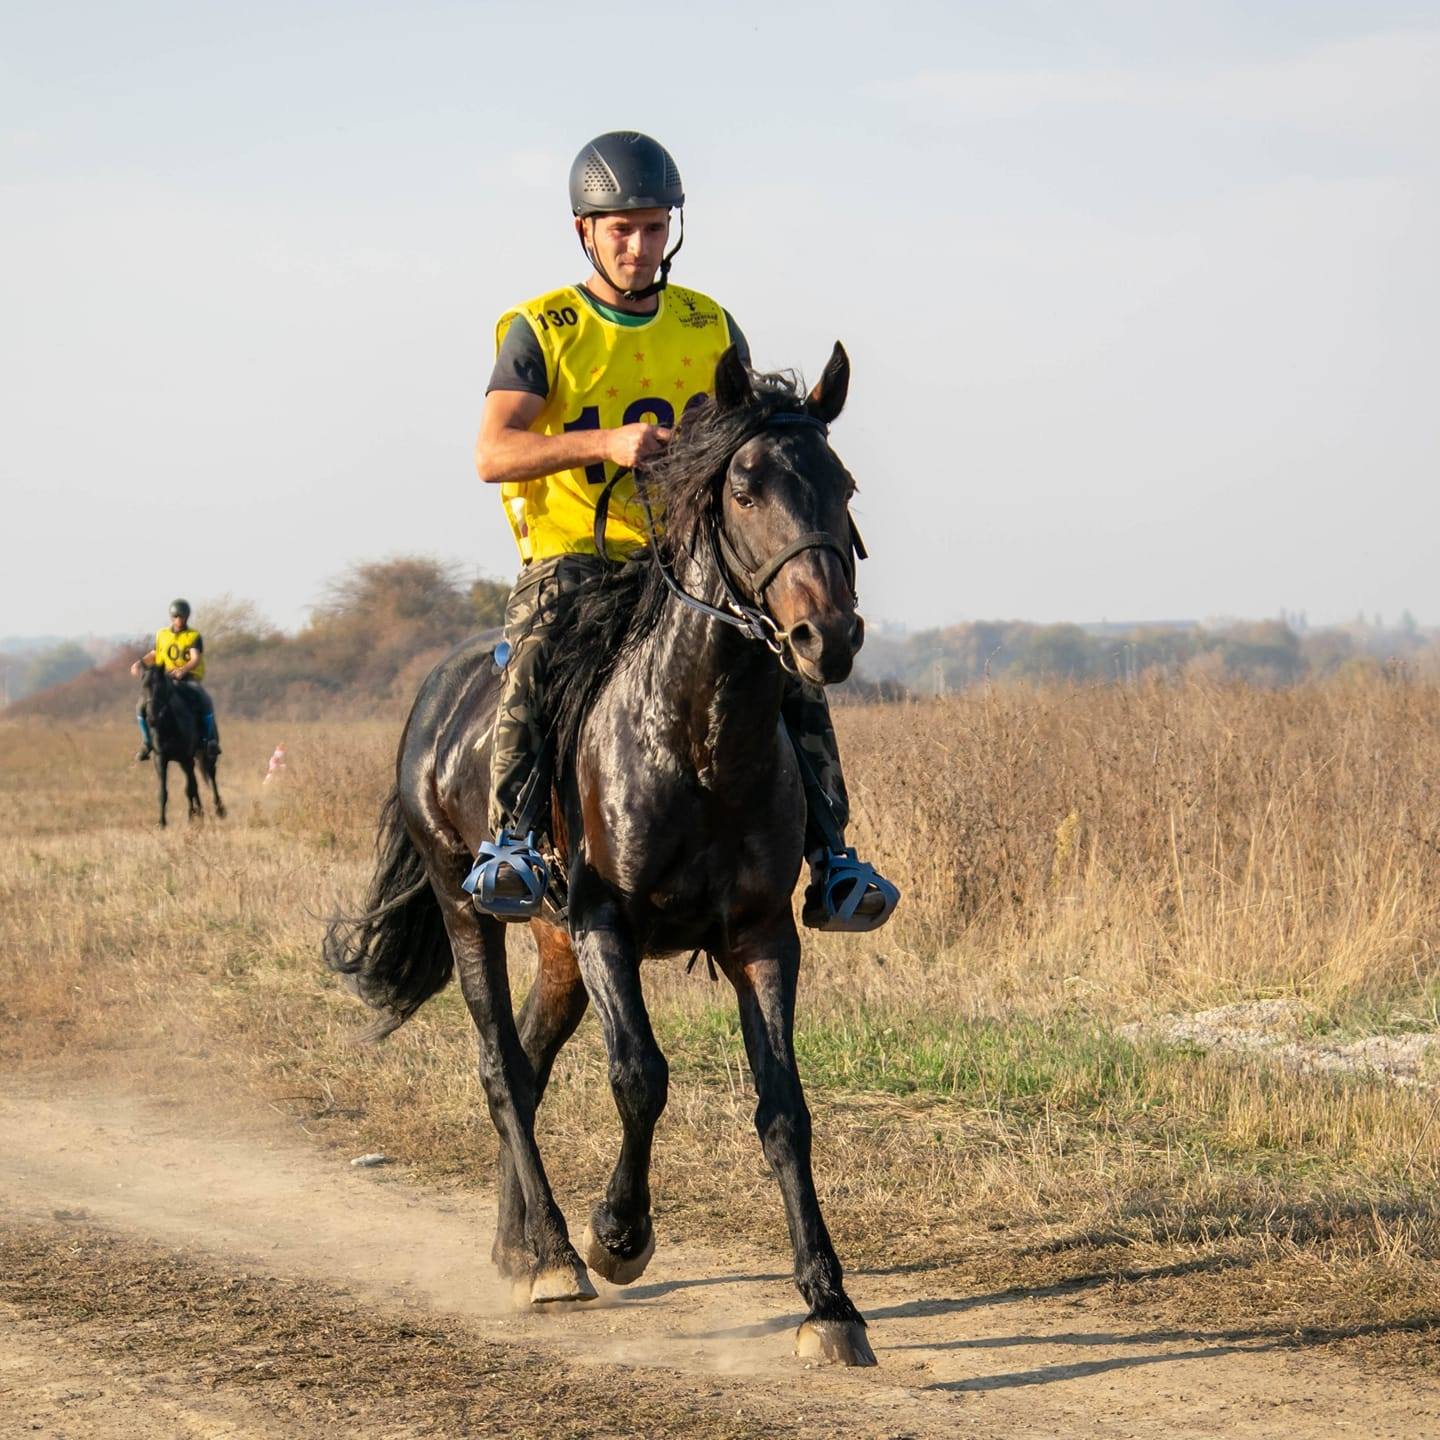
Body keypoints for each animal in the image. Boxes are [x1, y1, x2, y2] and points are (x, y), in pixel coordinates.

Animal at [139, 665, 224, 829]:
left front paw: (192, 816)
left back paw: (219, 810)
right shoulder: (161, 758)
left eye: (160, 688)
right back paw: (200, 812)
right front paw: (162, 822)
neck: (169, 725)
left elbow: (189, 788)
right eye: (143, 686)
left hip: (205, 755)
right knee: (195, 783)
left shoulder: (186, 757)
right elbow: (164, 791)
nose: (151, 719)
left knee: (211, 776)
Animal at [329, 342, 875, 1365]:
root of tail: (434, 692)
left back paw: (514, 1242)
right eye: (745, 488)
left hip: (555, 952)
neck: (698, 742)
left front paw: (830, 1305)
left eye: (844, 485)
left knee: (532, 1059)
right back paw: (550, 1254)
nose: (827, 637)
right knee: (502, 1066)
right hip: (474, 909)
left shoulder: (760, 937)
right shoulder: (603, 923)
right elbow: (640, 1076)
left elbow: (785, 1108)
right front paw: (618, 1235)